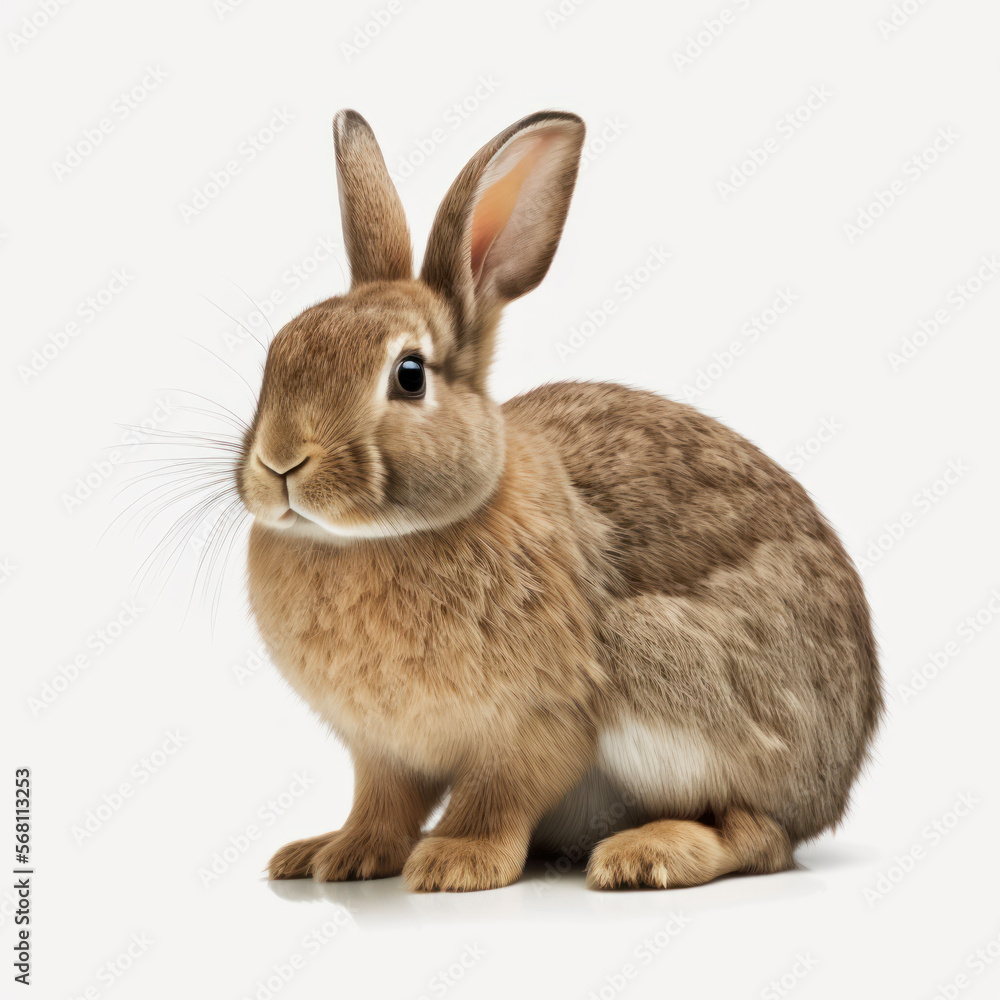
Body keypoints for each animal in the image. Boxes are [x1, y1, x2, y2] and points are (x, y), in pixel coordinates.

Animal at [238, 109, 883, 892]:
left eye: (410, 375)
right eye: (278, 351)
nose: (280, 462)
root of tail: (837, 779)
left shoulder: (538, 722)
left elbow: (498, 794)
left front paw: (454, 862)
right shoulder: (380, 751)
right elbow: (381, 804)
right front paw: (341, 855)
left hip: (673, 670)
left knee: (756, 833)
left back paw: (644, 855)